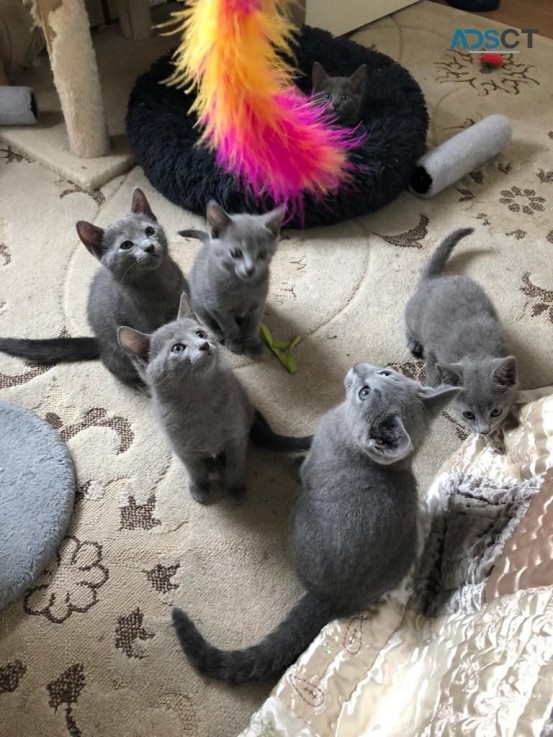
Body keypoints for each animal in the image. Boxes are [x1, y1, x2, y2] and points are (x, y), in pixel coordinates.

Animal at [0, 187, 187, 388]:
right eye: (126, 245)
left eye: (149, 231)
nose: (149, 246)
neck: (159, 284)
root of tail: (99, 343)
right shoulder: (142, 322)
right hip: (117, 352)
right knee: (115, 367)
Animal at [117, 294, 310, 506]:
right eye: (178, 348)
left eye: (200, 334)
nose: (204, 345)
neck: (200, 399)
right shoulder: (182, 449)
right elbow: (196, 470)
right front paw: (200, 487)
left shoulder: (236, 438)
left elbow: (235, 467)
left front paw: (235, 489)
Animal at [170, 366, 454, 680]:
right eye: (386, 372)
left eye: (364, 392)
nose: (358, 367)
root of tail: (332, 598)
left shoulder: (312, 466)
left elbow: (303, 468)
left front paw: (295, 464)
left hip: (301, 512)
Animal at [178, 201, 282, 356]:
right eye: (236, 253)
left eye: (262, 254)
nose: (250, 269)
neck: (243, 287)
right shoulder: (217, 307)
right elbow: (229, 326)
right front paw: (234, 342)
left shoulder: (259, 304)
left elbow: (253, 325)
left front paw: (252, 343)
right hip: (198, 301)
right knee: (206, 320)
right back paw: (218, 335)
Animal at [404, 227, 516, 452]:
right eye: (468, 415)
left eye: (496, 412)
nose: (484, 430)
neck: (475, 352)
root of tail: (434, 280)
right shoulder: (434, 351)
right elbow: (432, 371)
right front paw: (434, 390)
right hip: (413, 317)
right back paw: (413, 342)